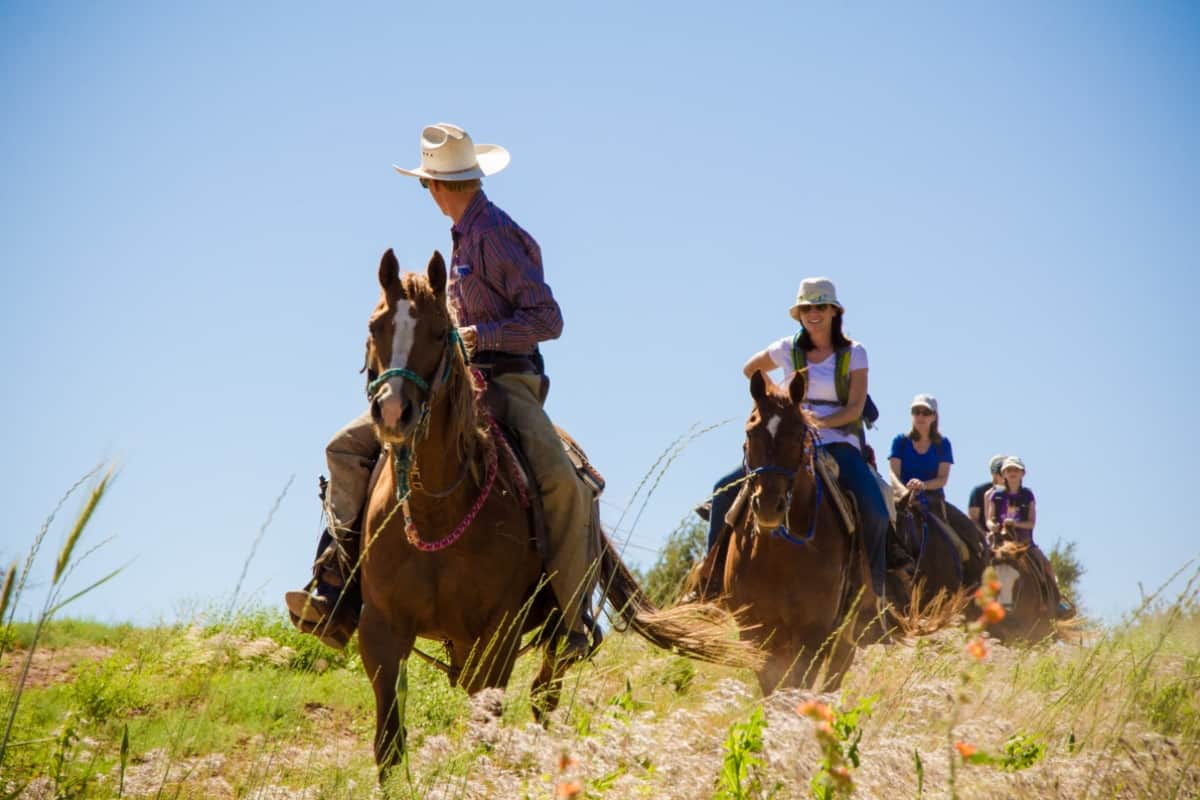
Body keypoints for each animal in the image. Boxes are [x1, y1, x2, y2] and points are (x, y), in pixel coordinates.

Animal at [352, 248, 758, 777]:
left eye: (440, 332)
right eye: (375, 326)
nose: (393, 412)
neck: (435, 510)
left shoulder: (498, 634)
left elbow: (487, 728)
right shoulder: (380, 633)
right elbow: (389, 745)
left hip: (553, 634)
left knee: (544, 696)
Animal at [715, 371, 878, 690]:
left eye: (798, 433)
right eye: (751, 431)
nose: (768, 506)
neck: (779, 555)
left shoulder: (812, 632)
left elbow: (796, 686)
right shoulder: (756, 630)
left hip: (846, 636)